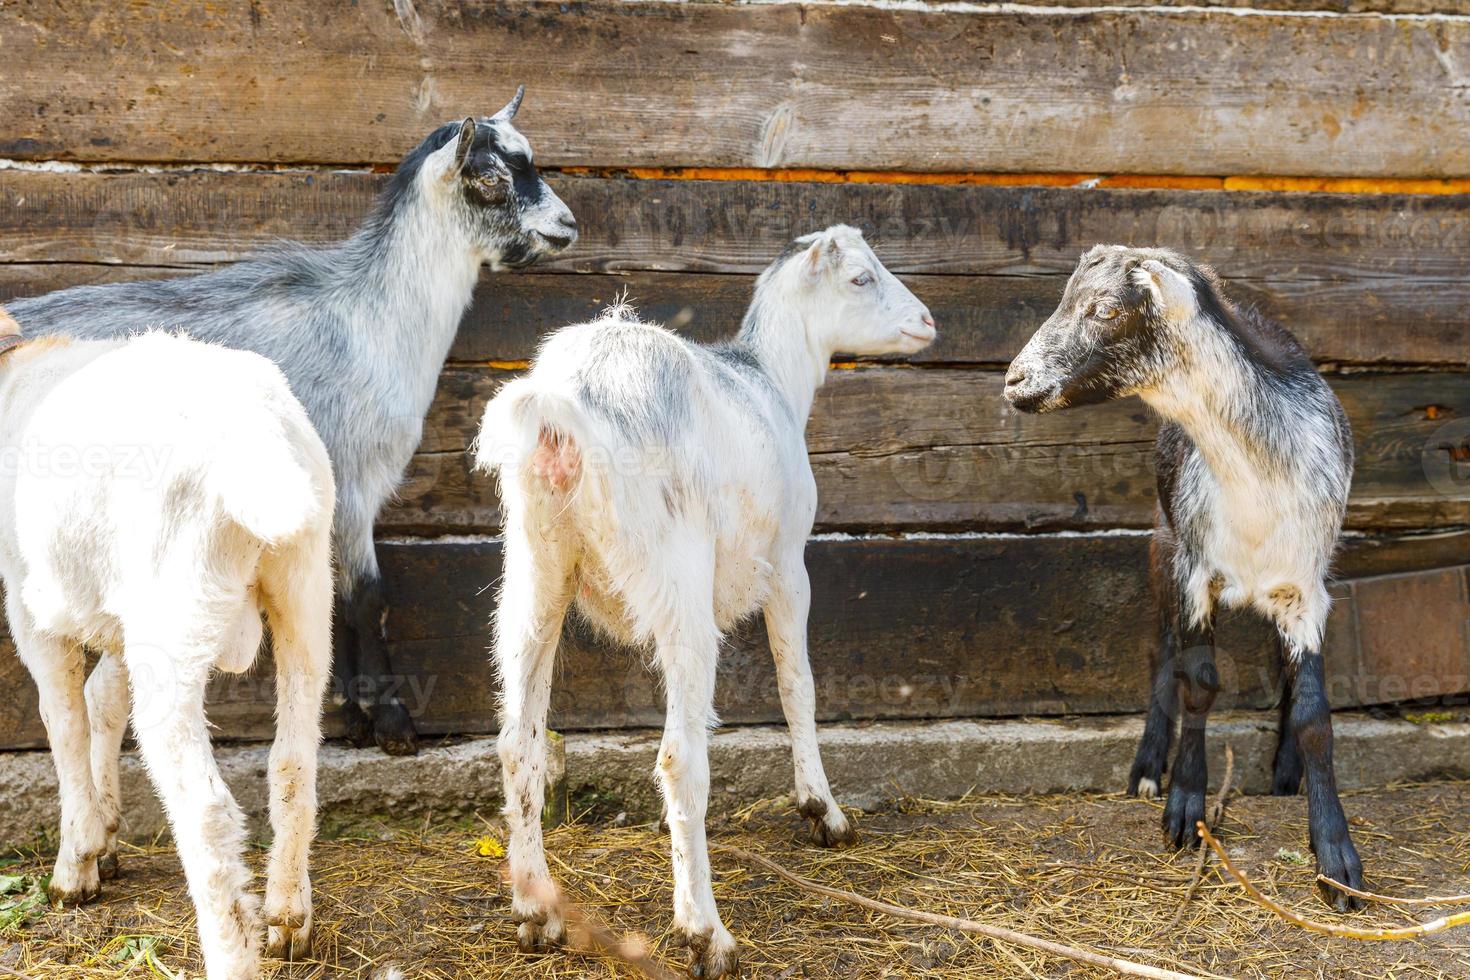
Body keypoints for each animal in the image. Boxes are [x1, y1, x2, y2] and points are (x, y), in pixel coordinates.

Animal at [0, 315, 336, 980]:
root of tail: (253, 429)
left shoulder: (28, 600)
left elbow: (64, 719)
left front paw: (76, 864)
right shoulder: (118, 619)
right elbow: (103, 700)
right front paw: (105, 833)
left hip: (173, 611)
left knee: (205, 808)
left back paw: (233, 953)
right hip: (305, 585)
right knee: (293, 759)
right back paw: (288, 916)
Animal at [10, 86, 573, 758]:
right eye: (489, 178)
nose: (567, 226)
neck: (368, 320)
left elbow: (327, 595)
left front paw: (350, 715)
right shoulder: (352, 476)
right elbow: (367, 596)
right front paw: (392, 724)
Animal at [476, 226, 934, 975]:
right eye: (861, 278)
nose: (926, 322)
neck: (771, 379)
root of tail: (566, 406)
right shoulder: (789, 563)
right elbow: (797, 684)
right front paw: (822, 810)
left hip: (539, 567)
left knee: (520, 741)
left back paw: (537, 911)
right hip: (677, 576)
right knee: (678, 756)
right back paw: (705, 932)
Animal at [1005, 245, 1358, 910]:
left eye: (1108, 310)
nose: (1014, 381)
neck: (1253, 483)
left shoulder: (1305, 588)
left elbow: (1314, 714)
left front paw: (1336, 859)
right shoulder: (1194, 572)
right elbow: (1199, 682)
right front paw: (1185, 804)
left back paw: (1285, 772)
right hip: (1160, 545)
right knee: (1159, 652)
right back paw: (1148, 768)